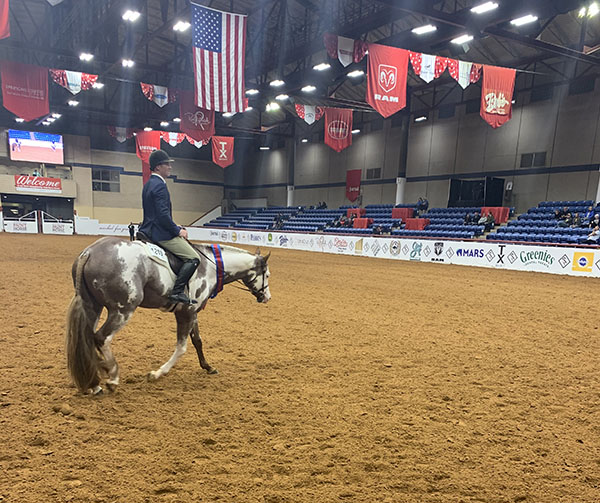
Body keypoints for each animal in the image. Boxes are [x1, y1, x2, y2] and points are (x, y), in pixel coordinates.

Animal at [66, 237, 272, 398]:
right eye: (267, 275)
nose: (267, 297)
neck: (211, 267)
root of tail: (89, 253)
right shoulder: (186, 313)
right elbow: (181, 348)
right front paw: (157, 374)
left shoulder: (192, 312)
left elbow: (198, 341)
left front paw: (208, 367)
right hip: (122, 310)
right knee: (102, 338)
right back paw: (113, 378)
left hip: (93, 306)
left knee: (87, 338)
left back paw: (95, 384)